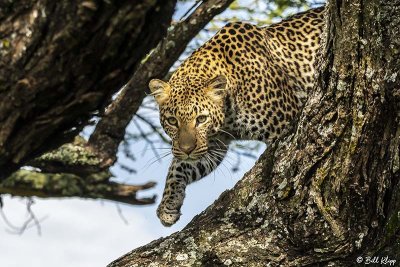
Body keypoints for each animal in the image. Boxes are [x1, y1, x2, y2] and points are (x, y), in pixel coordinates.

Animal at [148, 6, 324, 226]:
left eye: (201, 119)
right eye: (173, 121)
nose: (186, 150)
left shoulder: (285, 126)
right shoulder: (214, 144)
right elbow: (179, 167)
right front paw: (168, 206)